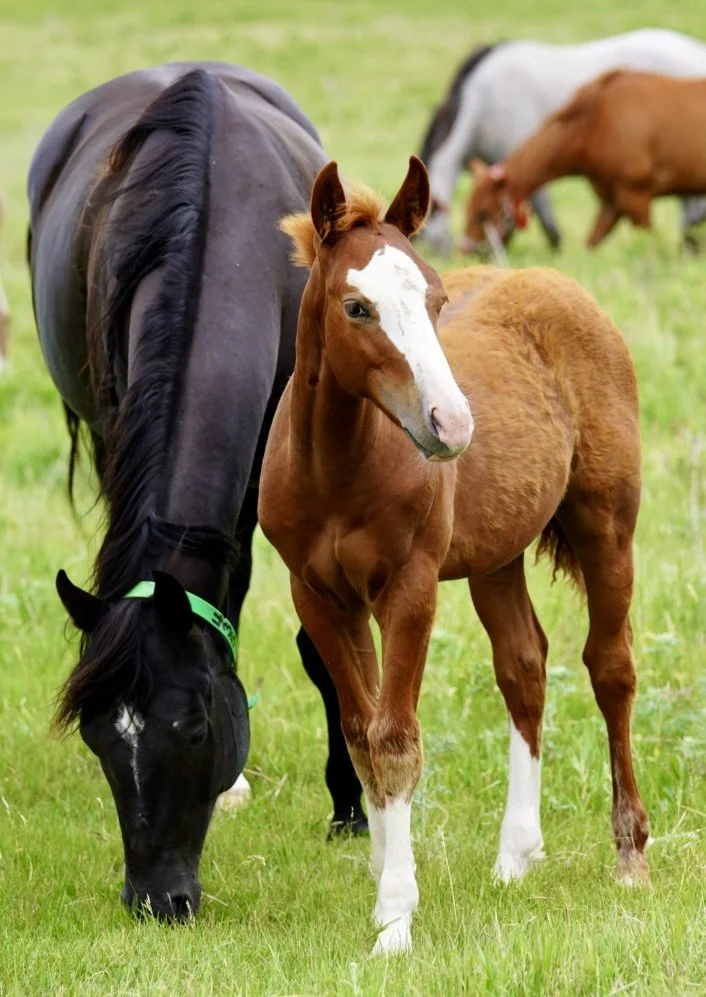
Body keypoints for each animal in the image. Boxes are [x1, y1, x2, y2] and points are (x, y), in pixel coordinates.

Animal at [259, 156, 650, 955]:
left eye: (436, 298)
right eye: (357, 308)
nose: (452, 424)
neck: (334, 468)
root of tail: (560, 285)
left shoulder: (409, 587)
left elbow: (396, 739)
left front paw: (396, 916)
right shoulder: (318, 594)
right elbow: (362, 733)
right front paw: (382, 870)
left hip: (607, 524)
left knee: (610, 668)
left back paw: (629, 855)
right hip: (495, 554)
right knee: (524, 666)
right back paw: (516, 855)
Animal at [463, 70, 706, 252]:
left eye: (483, 214)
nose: (466, 251)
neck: (596, 119)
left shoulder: (636, 196)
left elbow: (650, 246)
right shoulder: (612, 202)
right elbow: (591, 244)